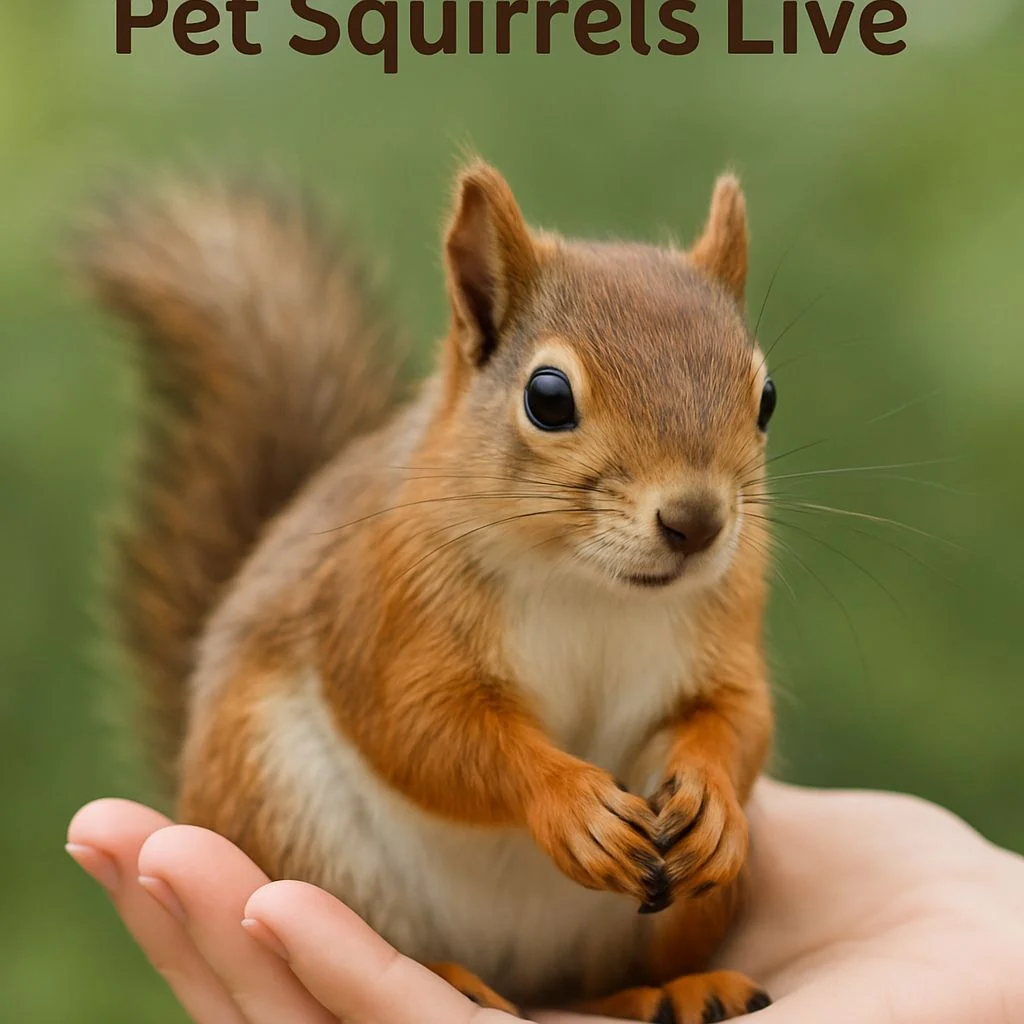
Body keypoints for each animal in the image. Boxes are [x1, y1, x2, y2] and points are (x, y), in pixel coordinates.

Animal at [81, 162, 777, 1022]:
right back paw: (448, 976)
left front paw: (714, 802)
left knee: (603, 986)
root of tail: (523, 974)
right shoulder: (384, 604)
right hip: (286, 814)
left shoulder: (726, 626)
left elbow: (735, 716)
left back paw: (676, 986)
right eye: (548, 398)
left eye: (767, 397)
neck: (590, 586)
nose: (696, 521)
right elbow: (421, 728)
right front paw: (571, 803)